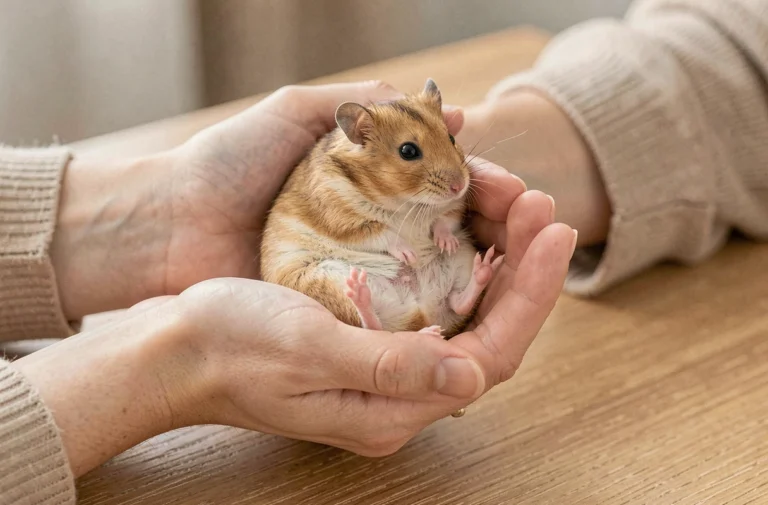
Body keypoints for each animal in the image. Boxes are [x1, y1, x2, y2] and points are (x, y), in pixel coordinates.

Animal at [260, 79, 503, 338]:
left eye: (451, 137)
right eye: (408, 151)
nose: (459, 186)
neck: (404, 202)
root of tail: (421, 310)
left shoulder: (455, 206)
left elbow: (445, 220)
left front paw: (445, 243)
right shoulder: (342, 219)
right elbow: (382, 233)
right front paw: (410, 255)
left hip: (462, 260)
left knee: (456, 303)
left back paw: (483, 270)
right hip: (324, 280)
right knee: (373, 326)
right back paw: (362, 295)